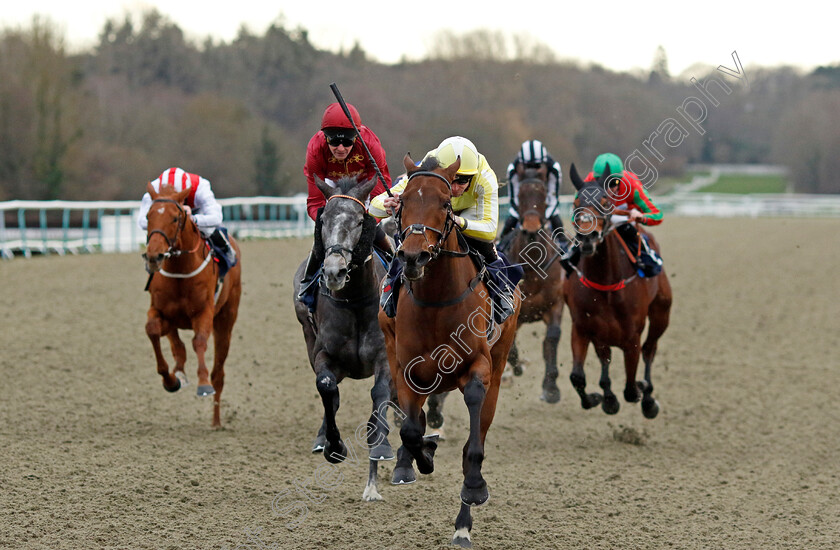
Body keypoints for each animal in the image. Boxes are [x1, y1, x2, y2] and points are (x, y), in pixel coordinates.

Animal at [142, 183, 243, 430]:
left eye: (175, 218)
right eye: (148, 216)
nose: (154, 256)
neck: (180, 269)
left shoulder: (204, 312)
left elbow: (199, 342)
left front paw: (203, 383)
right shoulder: (160, 311)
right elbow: (153, 330)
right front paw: (170, 379)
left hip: (226, 319)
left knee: (219, 373)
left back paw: (216, 421)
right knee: (175, 342)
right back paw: (178, 369)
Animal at [292, 175, 398, 502]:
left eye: (359, 220)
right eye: (323, 219)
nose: (334, 271)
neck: (355, 301)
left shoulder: (385, 356)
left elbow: (380, 396)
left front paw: (378, 459)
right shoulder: (324, 354)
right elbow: (326, 388)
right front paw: (333, 446)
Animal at [378, 153, 520, 548]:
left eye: (445, 203)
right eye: (403, 201)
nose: (413, 256)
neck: (437, 301)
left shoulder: (479, 366)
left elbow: (472, 442)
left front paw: (473, 489)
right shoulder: (407, 367)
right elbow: (411, 430)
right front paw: (420, 457)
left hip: (499, 365)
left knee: (480, 428)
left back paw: (462, 524)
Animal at [502, 166, 568, 404]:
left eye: (543, 195)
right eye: (520, 195)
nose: (531, 229)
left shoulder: (555, 304)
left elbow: (552, 338)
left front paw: (551, 388)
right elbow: (511, 347)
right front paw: (517, 367)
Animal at [560, 164, 672, 418]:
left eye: (605, 201)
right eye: (575, 201)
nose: (587, 237)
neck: (606, 285)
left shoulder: (632, 338)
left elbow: (631, 388)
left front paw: (642, 390)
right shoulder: (581, 328)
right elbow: (577, 376)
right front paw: (599, 398)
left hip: (661, 313)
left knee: (650, 349)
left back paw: (648, 398)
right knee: (605, 358)